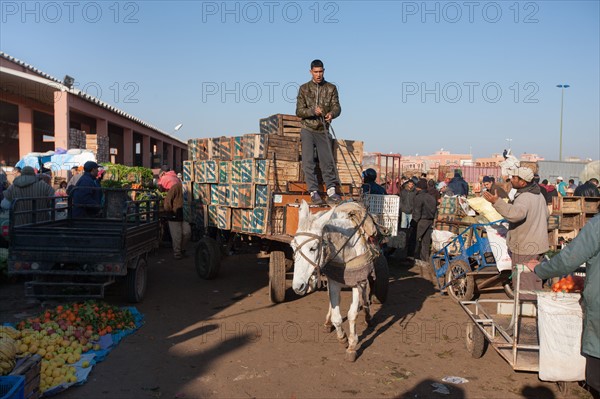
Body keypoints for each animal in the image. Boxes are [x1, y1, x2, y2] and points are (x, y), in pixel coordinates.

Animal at [290, 202, 380, 360]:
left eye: (313, 248)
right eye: (292, 246)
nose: (297, 286)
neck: (346, 248)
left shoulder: (358, 281)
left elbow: (352, 314)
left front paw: (352, 346)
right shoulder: (333, 282)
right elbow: (336, 316)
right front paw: (343, 338)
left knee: (365, 294)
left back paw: (368, 315)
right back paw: (328, 322)